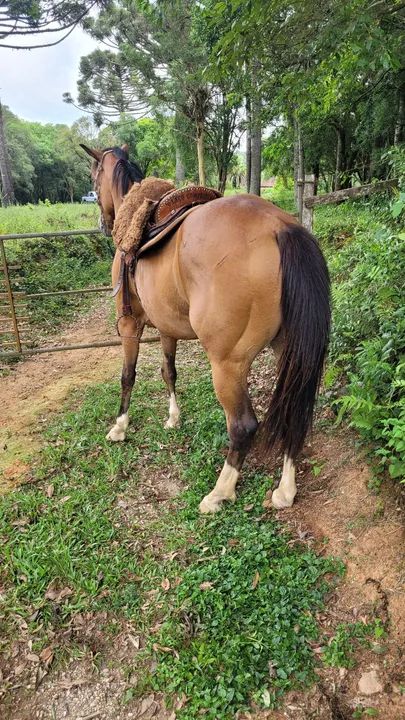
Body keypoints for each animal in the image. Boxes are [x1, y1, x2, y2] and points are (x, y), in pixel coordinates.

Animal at [80, 144, 330, 514]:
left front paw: (120, 427)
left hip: (227, 365)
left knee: (242, 426)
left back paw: (220, 492)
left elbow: (128, 375)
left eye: (93, 175)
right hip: (289, 352)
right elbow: (168, 371)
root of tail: (280, 227)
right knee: (292, 411)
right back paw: (285, 490)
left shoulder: (129, 323)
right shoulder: (166, 328)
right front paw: (173, 417)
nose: (101, 220)